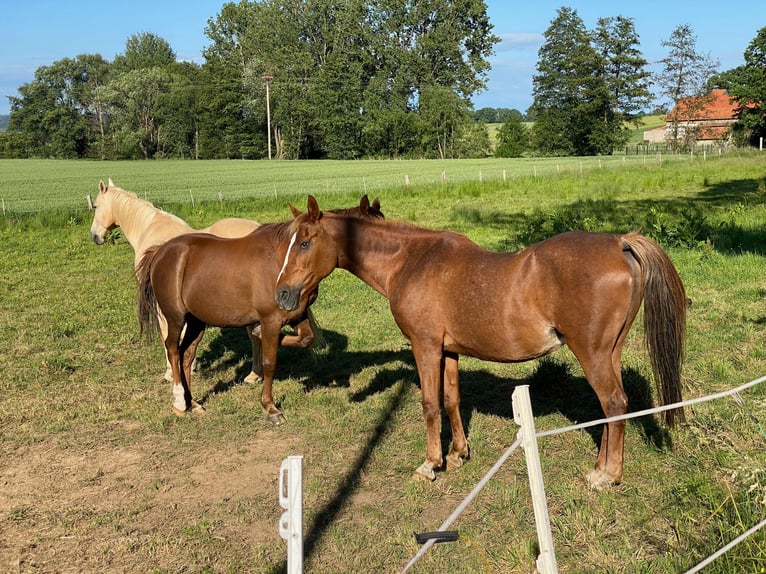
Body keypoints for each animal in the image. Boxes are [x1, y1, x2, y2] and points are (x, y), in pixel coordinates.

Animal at [88, 179, 280, 388]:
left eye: (95, 206)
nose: (94, 236)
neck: (150, 230)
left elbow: (167, 334)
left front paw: (171, 373)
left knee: (255, 336)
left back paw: (254, 374)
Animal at [135, 196, 384, 426]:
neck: (282, 263)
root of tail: (161, 251)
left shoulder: (296, 314)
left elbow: (306, 339)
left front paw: (257, 334)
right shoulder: (271, 320)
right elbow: (269, 363)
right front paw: (270, 407)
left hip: (197, 320)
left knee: (187, 354)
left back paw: (192, 402)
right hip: (176, 318)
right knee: (172, 350)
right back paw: (179, 401)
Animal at [276, 198, 688, 490]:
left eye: (305, 243)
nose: (282, 294)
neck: (411, 262)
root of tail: (620, 243)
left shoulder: (426, 346)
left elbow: (430, 404)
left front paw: (430, 464)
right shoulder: (448, 350)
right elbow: (452, 399)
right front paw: (459, 454)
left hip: (592, 354)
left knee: (614, 404)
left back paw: (607, 475)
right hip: (610, 352)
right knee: (611, 408)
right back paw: (600, 467)